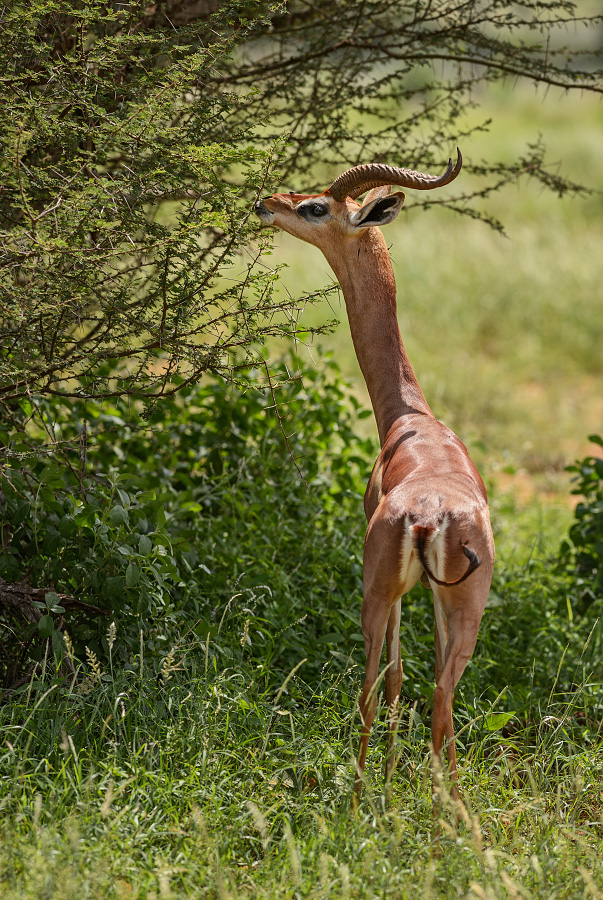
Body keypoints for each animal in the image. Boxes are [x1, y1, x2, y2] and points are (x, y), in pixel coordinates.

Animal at [255, 151, 496, 804]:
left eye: (317, 207)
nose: (266, 202)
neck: (411, 421)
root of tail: (432, 518)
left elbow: (391, 676)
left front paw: (384, 787)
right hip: (466, 610)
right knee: (443, 699)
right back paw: (450, 817)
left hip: (376, 593)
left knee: (374, 686)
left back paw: (363, 801)